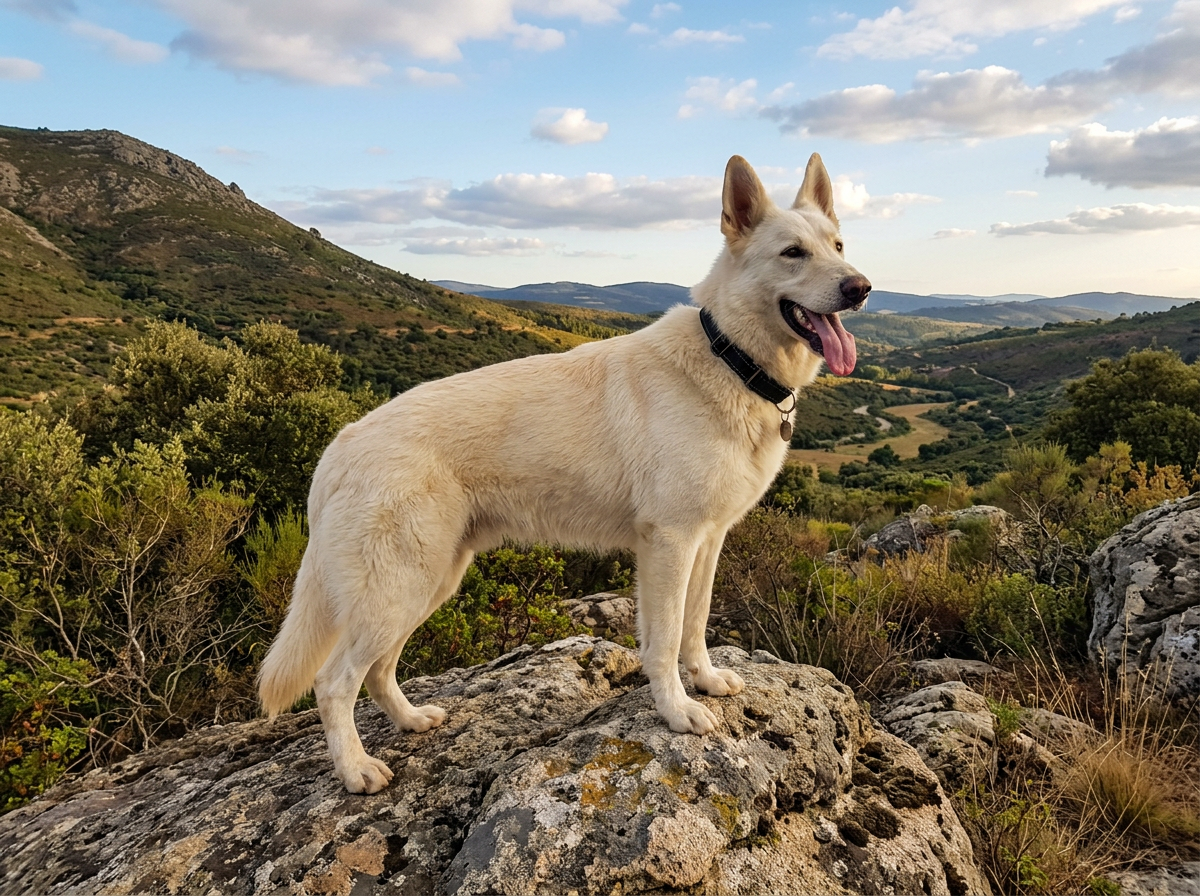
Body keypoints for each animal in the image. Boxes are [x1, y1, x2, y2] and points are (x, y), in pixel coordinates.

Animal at [258, 153, 870, 793]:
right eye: (793, 253)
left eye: (838, 245)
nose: (860, 288)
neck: (732, 359)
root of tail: (339, 447)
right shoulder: (670, 543)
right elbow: (664, 640)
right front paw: (676, 710)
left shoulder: (707, 541)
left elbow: (695, 624)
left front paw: (703, 680)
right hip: (398, 588)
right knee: (333, 683)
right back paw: (356, 770)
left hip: (428, 582)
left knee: (377, 671)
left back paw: (410, 720)